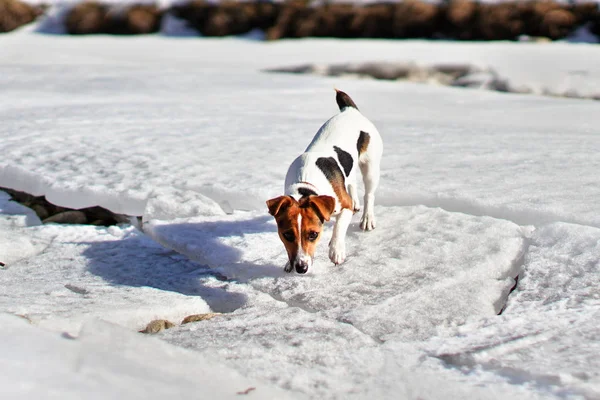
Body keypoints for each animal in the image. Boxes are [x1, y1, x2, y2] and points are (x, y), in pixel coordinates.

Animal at [268, 89, 384, 274]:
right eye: (287, 235)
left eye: (313, 234)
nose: (301, 268)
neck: (305, 186)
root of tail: (350, 110)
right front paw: (288, 263)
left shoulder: (344, 206)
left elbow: (339, 227)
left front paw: (336, 251)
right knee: (351, 181)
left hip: (371, 166)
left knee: (369, 194)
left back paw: (367, 219)